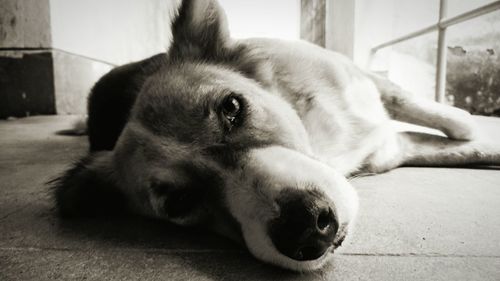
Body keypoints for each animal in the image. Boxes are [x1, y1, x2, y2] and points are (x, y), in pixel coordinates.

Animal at [50, 0, 500, 272]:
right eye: (179, 202)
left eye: (231, 107)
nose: (306, 227)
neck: (321, 140)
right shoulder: (394, 149)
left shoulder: (367, 84)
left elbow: (431, 113)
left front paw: (468, 122)